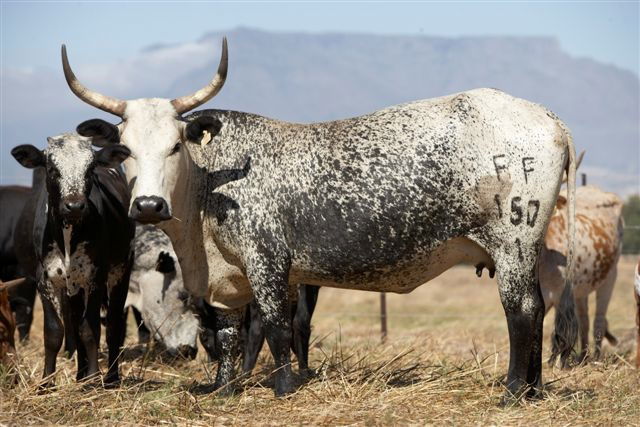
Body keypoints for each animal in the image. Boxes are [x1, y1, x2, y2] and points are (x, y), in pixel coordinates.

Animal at [10, 135, 134, 386]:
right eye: (52, 169)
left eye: (90, 169)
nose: (74, 205)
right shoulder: (45, 280)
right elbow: (54, 331)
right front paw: (46, 382)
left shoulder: (95, 278)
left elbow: (90, 329)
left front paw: (94, 378)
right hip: (73, 285)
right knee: (75, 323)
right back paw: (79, 375)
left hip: (120, 272)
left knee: (114, 324)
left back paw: (111, 377)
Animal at [62, 38, 576, 402]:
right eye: (125, 150)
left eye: (174, 146)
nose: (148, 206)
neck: (207, 188)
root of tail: (549, 118)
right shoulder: (229, 278)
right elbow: (228, 334)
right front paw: (224, 388)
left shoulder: (267, 262)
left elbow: (275, 325)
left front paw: (284, 387)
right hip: (525, 252)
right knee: (537, 306)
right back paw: (533, 389)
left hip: (512, 243)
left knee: (521, 310)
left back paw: (513, 391)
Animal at [536, 186, 624, 362]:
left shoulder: (560, 297)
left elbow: (561, 330)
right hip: (580, 289)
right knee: (584, 321)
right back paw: (583, 356)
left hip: (611, 276)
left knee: (598, 321)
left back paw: (596, 358)